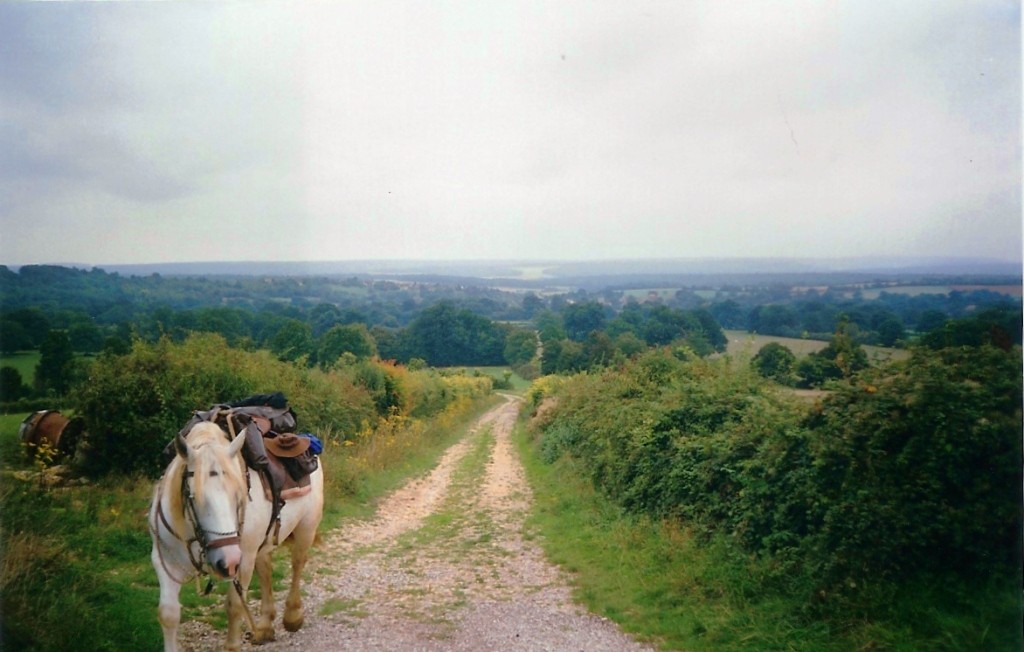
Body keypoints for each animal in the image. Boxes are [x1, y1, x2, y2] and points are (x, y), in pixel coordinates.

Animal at [148, 419, 321, 646]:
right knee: (266, 569)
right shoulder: (166, 562)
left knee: (297, 563)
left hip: (305, 528)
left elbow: (234, 606)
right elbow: (168, 614)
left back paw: (292, 616)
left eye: (239, 495)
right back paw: (264, 627)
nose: (227, 561)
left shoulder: (243, 559)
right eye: (193, 497)